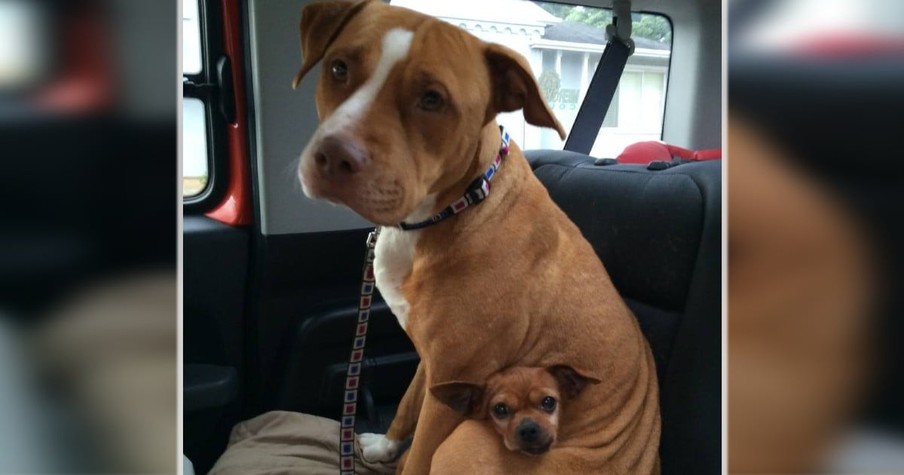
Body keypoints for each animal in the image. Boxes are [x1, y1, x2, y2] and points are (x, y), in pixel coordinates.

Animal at [294, 1, 660, 474]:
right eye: (339, 68)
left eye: (433, 99)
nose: (334, 156)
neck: (458, 205)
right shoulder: (435, 364)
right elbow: (408, 403)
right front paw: (386, 447)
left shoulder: (451, 390)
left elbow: (420, 454)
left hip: (468, 435)